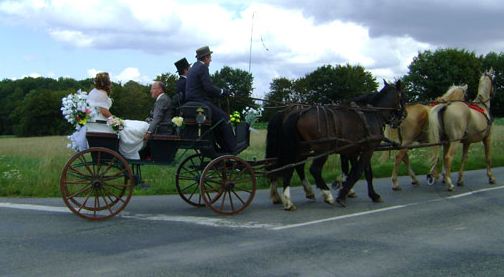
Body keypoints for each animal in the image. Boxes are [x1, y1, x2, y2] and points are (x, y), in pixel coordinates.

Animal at [272, 78, 406, 208]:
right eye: (403, 97)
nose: (405, 115)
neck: (371, 113)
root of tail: (299, 113)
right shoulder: (369, 149)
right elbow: (358, 171)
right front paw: (342, 195)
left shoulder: (357, 149)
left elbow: (364, 172)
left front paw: (372, 195)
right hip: (322, 149)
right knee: (314, 170)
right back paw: (327, 195)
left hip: (300, 149)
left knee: (290, 168)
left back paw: (288, 201)